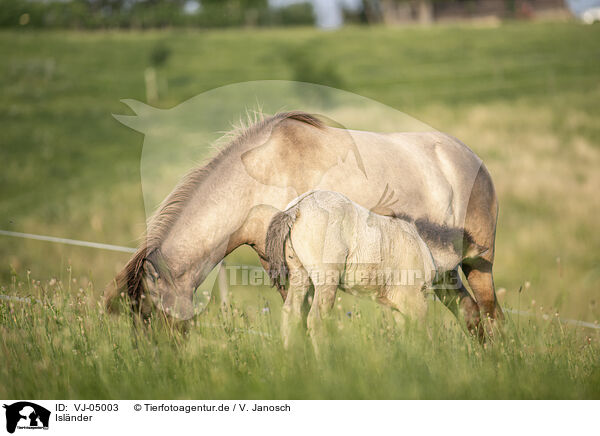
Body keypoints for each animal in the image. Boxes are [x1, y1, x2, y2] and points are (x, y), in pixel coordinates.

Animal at [106, 110, 502, 332]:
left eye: (149, 316)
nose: (159, 364)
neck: (262, 176)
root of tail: (472, 159)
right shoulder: (280, 266)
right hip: (441, 273)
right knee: (471, 316)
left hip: (478, 264)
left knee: (491, 313)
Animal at [264, 191, 486, 348]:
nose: (483, 345)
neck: (422, 244)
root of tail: (296, 209)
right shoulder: (415, 299)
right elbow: (424, 336)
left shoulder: (398, 306)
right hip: (326, 280)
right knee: (316, 320)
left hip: (300, 276)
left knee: (291, 315)